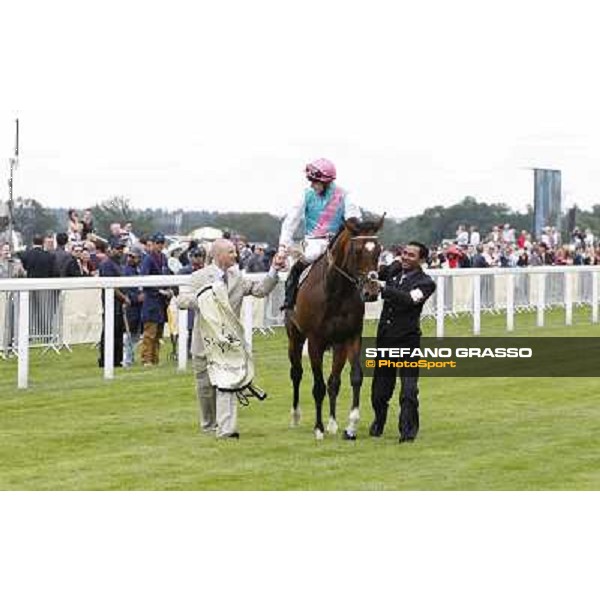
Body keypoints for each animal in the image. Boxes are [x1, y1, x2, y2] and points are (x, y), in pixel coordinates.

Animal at [284, 217, 384, 440]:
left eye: (379, 250)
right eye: (357, 251)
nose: (372, 292)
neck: (336, 291)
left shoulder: (351, 337)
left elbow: (354, 377)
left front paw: (351, 424)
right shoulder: (315, 342)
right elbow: (318, 386)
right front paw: (318, 428)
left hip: (338, 346)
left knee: (334, 381)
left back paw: (332, 423)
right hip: (295, 337)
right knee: (296, 373)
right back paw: (295, 416)